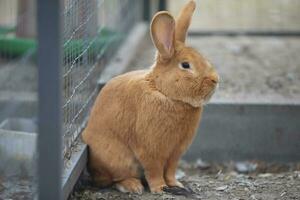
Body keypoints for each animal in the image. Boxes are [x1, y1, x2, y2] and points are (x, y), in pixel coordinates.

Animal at [82, 0, 218, 194]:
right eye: (185, 65)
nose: (215, 80)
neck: (164, 92)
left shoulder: (175, 152)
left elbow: (170, 170)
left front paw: (175, 184)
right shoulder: (150, 150)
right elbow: (154, 170)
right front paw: (160, 188)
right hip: (118, 159)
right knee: (115, 178)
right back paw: (133, 186)